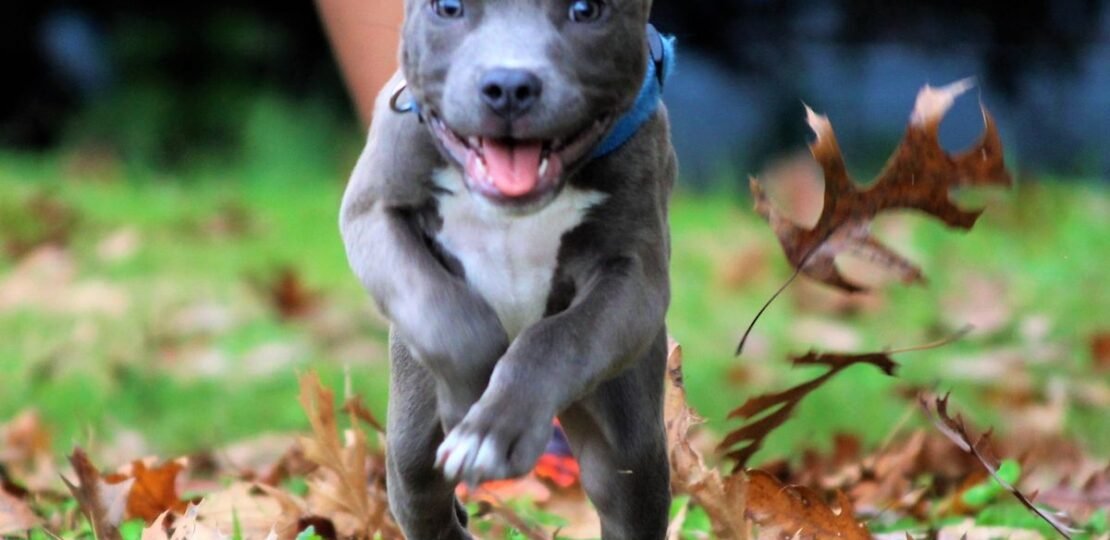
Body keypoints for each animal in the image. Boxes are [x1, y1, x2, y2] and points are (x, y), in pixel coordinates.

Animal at [341, 2, 674, 537]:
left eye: (586, 10)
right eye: (448, 8)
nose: (510, 85)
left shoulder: (635, 279)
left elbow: (557, 338)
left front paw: (493, 428)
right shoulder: (373, 215)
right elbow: (450, 317)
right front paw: (474, 398)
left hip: (628, 430)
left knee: (627, 486)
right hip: (413, 418)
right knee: (420, 488)